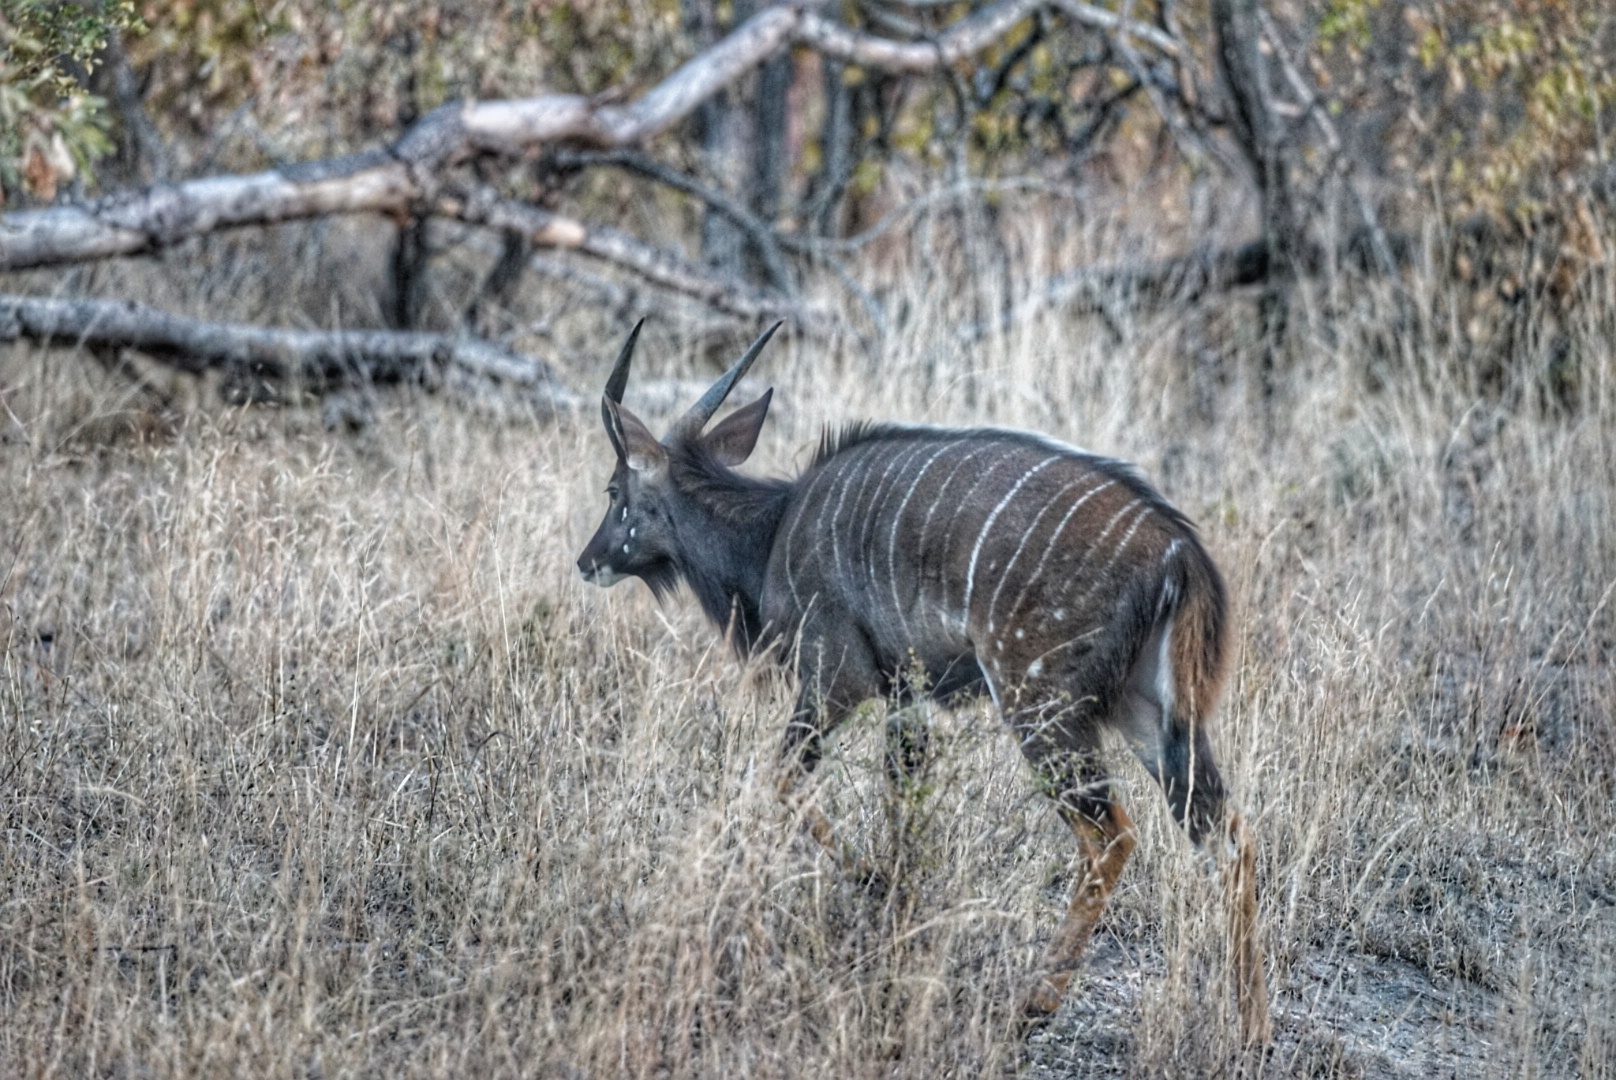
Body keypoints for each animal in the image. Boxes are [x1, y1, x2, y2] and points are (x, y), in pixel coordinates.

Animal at [575, 320, 1266, 1034]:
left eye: (613, 493)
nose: (586, 561)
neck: (771, 534)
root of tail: (1179, 556)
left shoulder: (834, 680)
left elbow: (784, 780)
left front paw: (875, 882)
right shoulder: (907, 697)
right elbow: (902, 806)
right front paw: (898, 913)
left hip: (1037, 706)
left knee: (1111, 835)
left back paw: (1035, 1002)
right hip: (1155, 720)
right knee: (1232, 839)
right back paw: (1252, 1029)